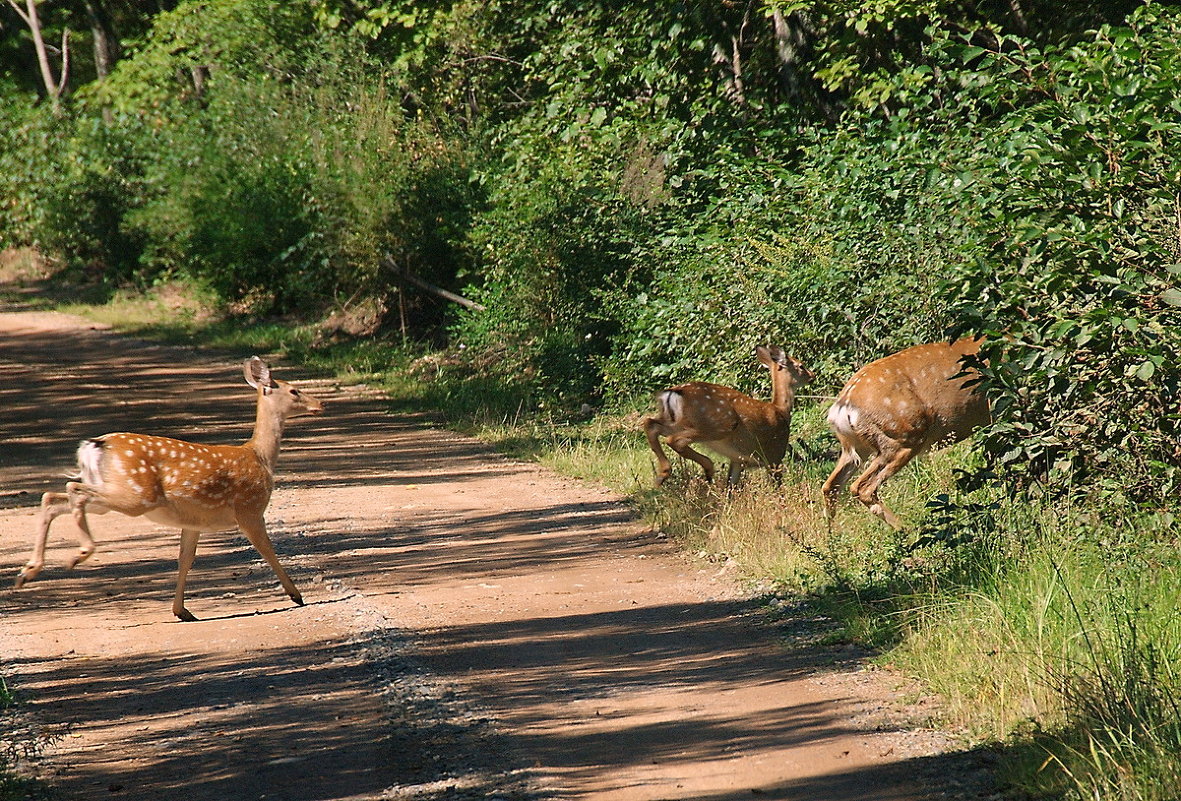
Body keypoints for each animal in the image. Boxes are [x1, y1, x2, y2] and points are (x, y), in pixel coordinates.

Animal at [14, 356, 328, 619]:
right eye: (294, 391)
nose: (320, 405)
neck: (259, 456)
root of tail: (94, 445)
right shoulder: (249, 508)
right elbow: (267, 550)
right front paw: (296, 595)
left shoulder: (194, 521)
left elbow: (185, 559)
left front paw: (182, 611)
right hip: (137, 495)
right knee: (71, 490)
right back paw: (78, 554)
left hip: (112, 492)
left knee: (53, 496)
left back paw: (28, 571)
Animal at [647, 347, 812, 486]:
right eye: (801, 365)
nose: (812, 375)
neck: (781, 410)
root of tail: (673, 393)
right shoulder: (775, 454)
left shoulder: (737, 460)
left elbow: (730, 486)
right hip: (719, 423)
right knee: (674, 440)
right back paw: (708, 468)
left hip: (677, 421)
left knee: (650, 424)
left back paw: (662, 475)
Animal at [826, 340, 992, 534]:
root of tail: (842, 406)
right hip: (902, 438)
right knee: (862, 487)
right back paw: (908, 530)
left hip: (855, 447)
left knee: (830, 486)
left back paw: (832, 538)